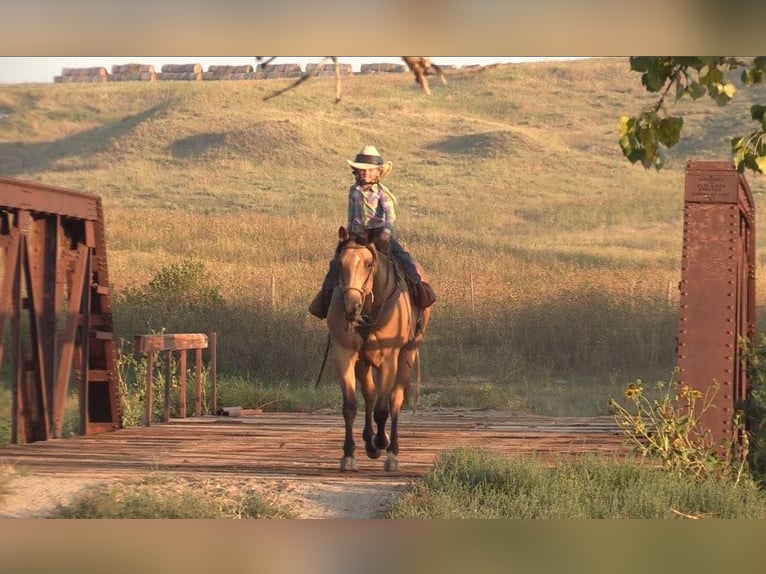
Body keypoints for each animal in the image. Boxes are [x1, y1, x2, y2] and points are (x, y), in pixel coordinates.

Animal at [326, 225, 428, 472]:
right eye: (339, 264)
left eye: (369, 264)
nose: (351, 307)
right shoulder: (344, 354)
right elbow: (350, 405)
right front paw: (348, 455)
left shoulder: (388, 358)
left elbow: (383, 409)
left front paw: (382, 442)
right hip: (363, 361)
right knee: (370, 394)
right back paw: (369, 442)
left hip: (407, 355)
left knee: (394, 400)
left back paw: (390, 451)